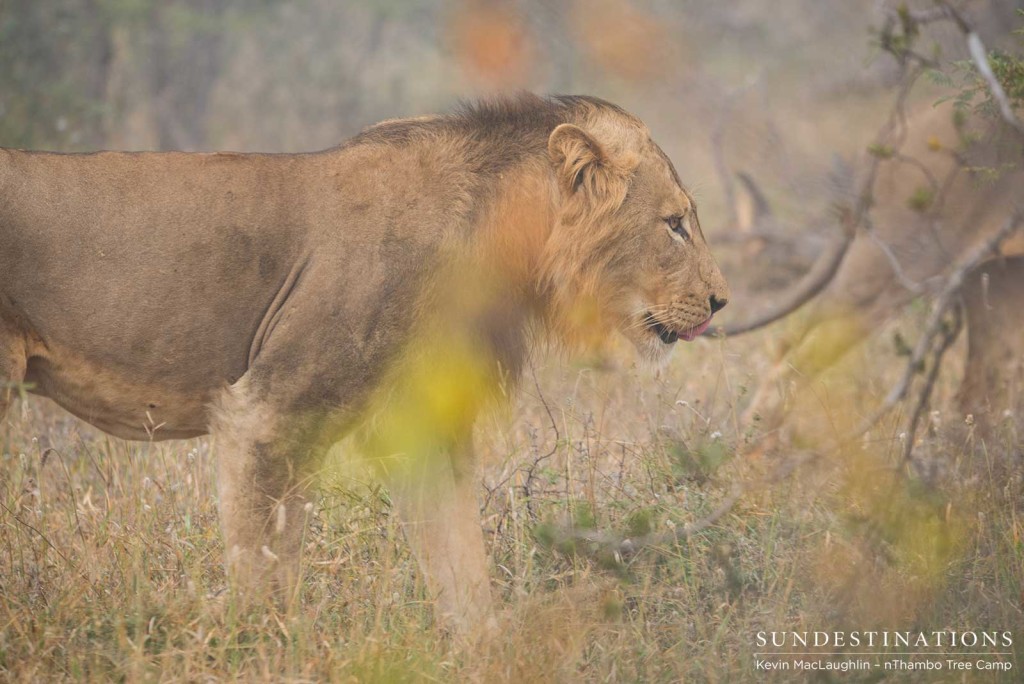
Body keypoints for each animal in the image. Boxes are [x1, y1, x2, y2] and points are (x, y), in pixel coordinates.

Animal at [0, 93, 729, 634]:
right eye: (674, 224)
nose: (721, 300)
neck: (498, 241)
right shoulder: (265, 414)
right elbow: (265, 573)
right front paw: (262, 651)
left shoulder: (423, 429)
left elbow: (462, 568)